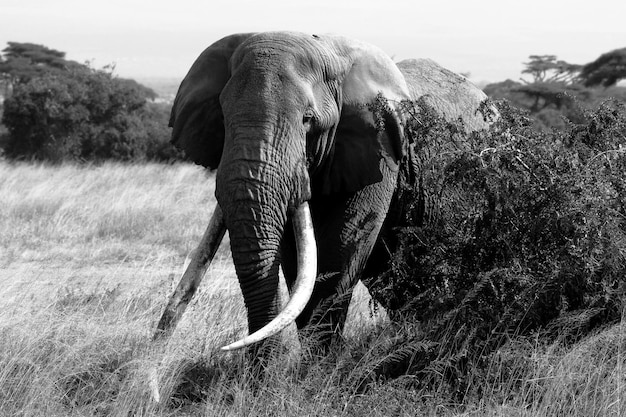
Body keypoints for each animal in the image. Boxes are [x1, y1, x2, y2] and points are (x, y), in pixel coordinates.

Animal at [154, 31, 494, 354]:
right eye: (223, 117)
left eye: (308, 120)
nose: (256, 373)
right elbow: (296, 259)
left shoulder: (380, 152)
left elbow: (338, 250)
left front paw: (318, 369)